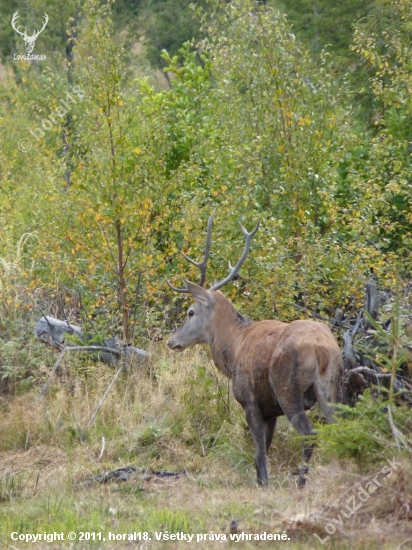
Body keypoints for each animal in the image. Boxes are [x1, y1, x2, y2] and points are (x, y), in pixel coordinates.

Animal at [167, 211, 342, 488]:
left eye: (190, 312)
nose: (172, 341)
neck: (233, 348)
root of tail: (322, 349)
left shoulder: (250, 400)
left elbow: (259, 451)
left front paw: (264, 484)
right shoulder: (270, 411)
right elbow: (265, 448)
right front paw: (261, 482)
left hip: (287, 387)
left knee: (310, 433)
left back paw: (301, 482)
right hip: (329, 386)